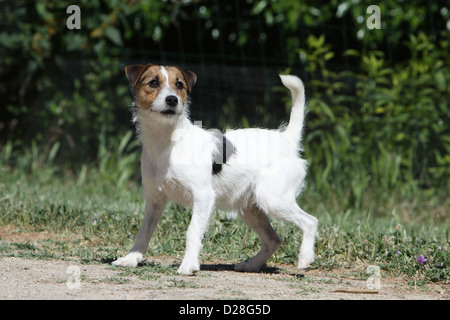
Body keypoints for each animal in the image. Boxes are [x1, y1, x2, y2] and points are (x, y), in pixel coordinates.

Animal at [111, 63, 316, 276]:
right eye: (153, 83)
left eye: (179, 85)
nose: (172, 100)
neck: (167, 142)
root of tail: (286, 140)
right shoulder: (155, 201)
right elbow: (144, 232)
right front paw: (131, 259)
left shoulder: (203, 196)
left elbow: (192, 231)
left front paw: (189, 265)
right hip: (251, 209)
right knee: (273, 239)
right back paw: (251, 265)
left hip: (274, 200)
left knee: (310, 221)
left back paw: (305, 257)